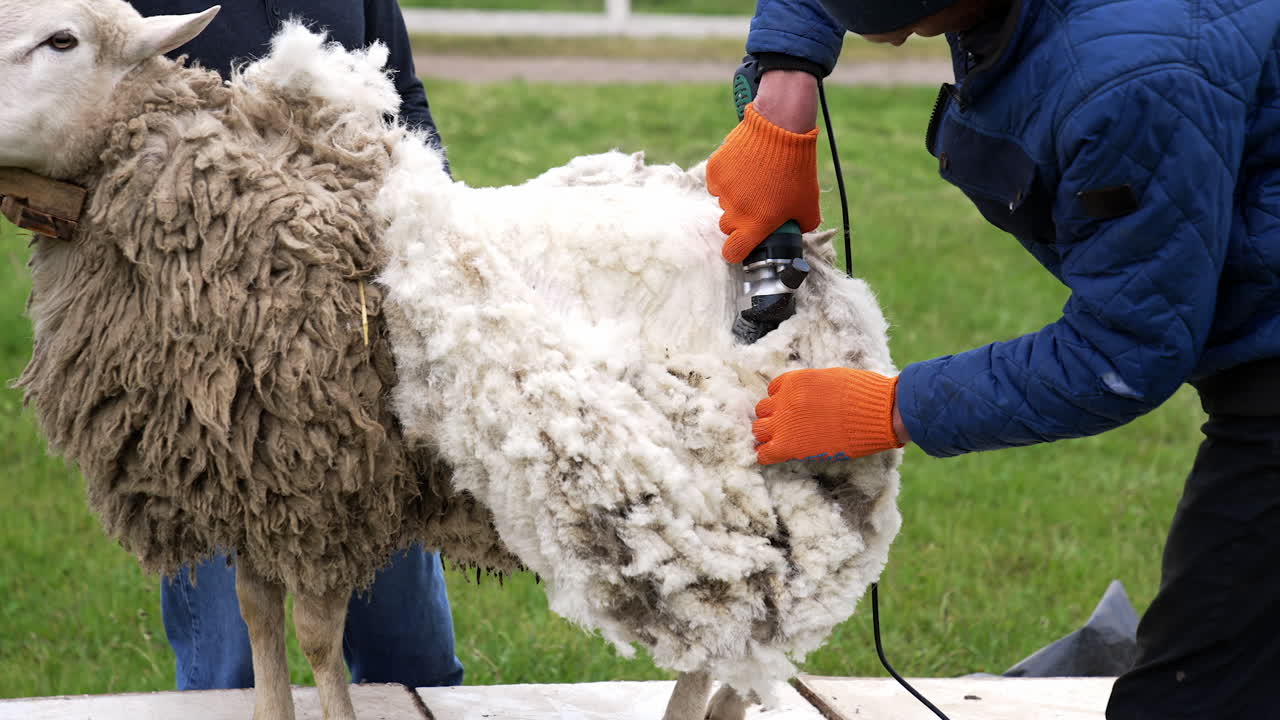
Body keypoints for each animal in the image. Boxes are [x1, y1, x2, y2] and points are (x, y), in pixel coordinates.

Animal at [0, 3, 903, 719]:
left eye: (62, 39)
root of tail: (820, 261)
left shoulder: (328, 490)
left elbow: (319, 641)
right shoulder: (252, 488)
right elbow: (259, 620)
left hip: (755, 499)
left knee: (741, 641)